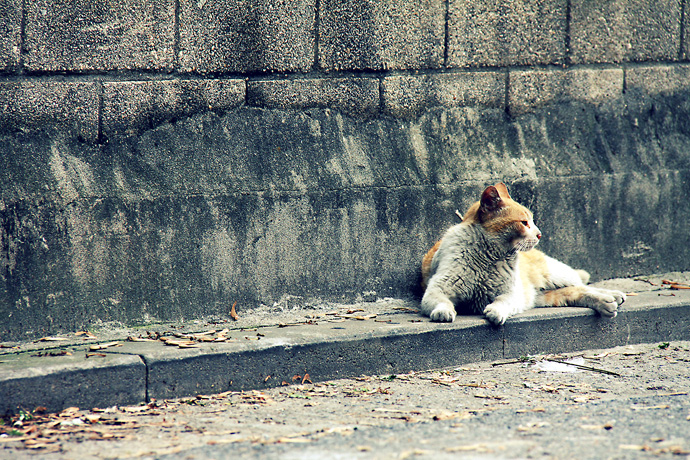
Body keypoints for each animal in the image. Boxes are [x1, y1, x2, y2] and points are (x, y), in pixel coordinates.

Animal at [420, 181, 624, 326]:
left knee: (582, 284)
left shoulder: (512, 293)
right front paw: (443, 312)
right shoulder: (436, 289)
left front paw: (495, 311)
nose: (539, 234)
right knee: (574, 291)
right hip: (543, 297)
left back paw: (614, 295)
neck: (489, 258)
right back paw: (607, 302)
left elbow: (502, 301)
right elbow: (442, 301)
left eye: (532, 221)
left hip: (555, 274)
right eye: (524, 223)